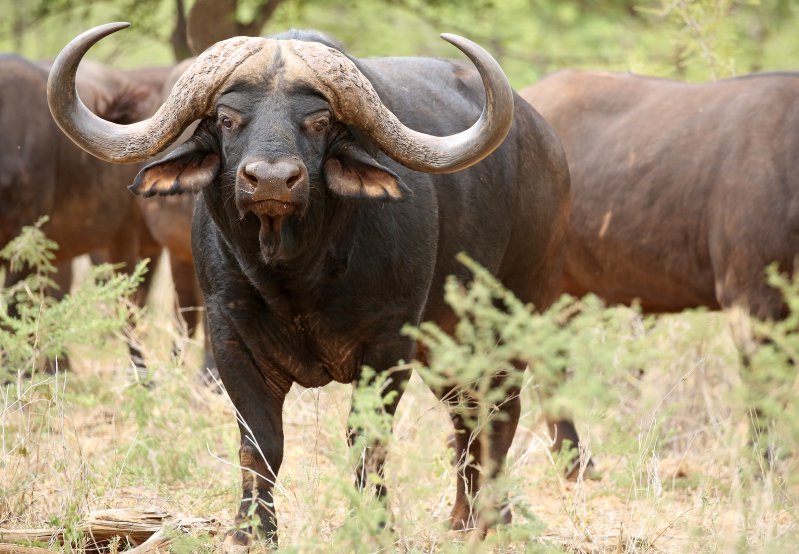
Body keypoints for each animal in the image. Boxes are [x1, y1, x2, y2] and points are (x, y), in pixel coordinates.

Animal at [48, 23, 572, 544]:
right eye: (227, 118)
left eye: (318, 122)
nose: (271, 181)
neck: (297, 275)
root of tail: (547, 147)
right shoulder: (230, 340)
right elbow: (260, 444)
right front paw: (252, 531)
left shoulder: (388, 346)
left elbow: (367, 442)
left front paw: (373, 527)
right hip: (445, 348)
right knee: (465, 418)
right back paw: (463, 520)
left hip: (508, 322)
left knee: (499, 415)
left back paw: (493, 521)